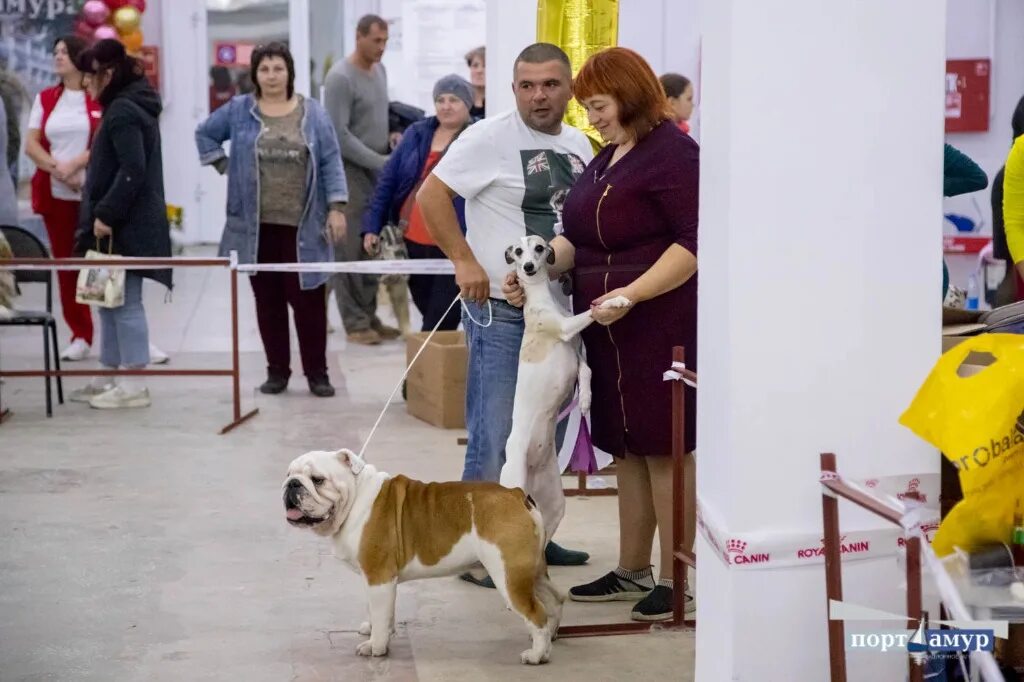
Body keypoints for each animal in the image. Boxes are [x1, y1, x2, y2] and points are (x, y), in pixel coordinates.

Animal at [497, 236, 626, 540]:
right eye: (517, 251)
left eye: (539, 248)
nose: (528, 267)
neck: (542, 301)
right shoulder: (567, 328)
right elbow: (592, 311)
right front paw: (618, 299)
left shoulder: (576, 351)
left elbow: (587, 371)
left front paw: (586, 401)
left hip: (553, 505)